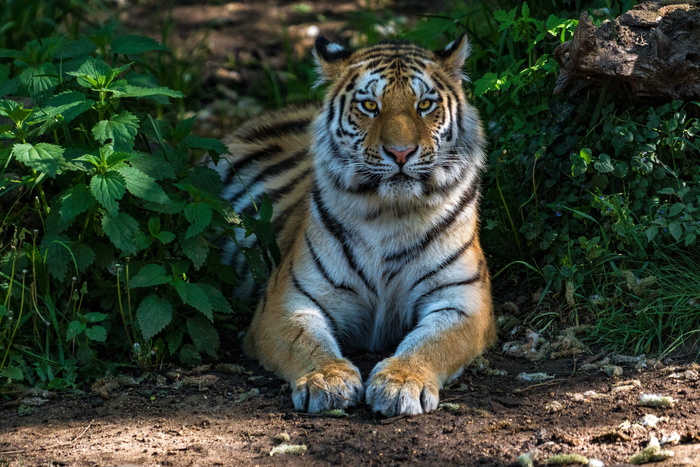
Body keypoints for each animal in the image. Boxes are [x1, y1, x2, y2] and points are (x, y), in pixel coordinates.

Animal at [216, 34, 494, 418]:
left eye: (424, 104)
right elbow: (306, 342)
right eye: (369, 106)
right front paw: (327, 379)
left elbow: (433, 342)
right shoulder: (287, 300)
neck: (390, 214)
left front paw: (401, 382)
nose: (401, 153)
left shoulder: (462, 299)